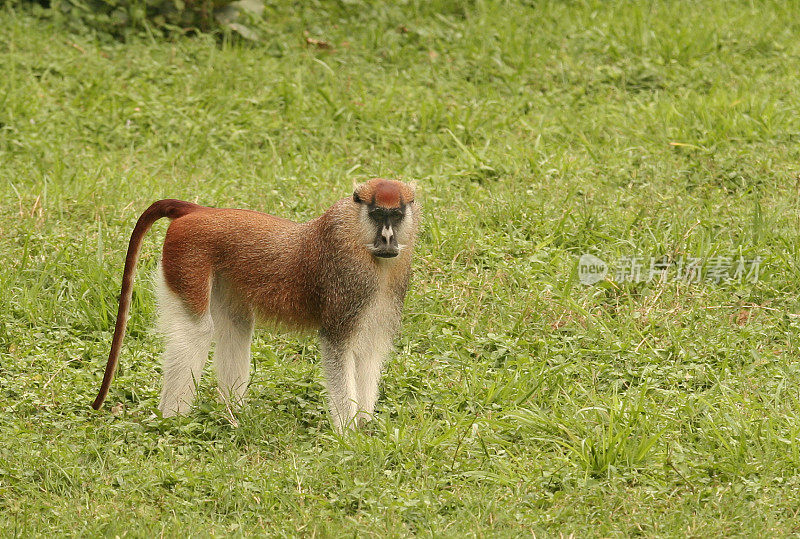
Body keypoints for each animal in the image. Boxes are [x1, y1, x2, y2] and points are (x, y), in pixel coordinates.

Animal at [90, 179, 418, 432]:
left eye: (396, 215)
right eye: (377, 214)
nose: (388, 238)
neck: (357, 234)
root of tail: (200, 212)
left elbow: (370, 349)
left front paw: (365, 425)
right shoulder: (346, 282)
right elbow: (337, 348)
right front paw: (348, 434)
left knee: (236, 325)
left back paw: (232, 415)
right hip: (185, 257)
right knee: (197, 331)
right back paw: (174, 422)